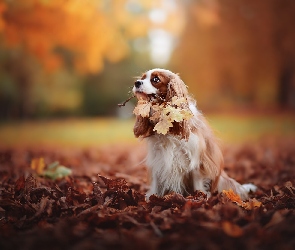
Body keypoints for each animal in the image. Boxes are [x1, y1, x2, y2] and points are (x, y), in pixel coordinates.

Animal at [132, 68, 256, 199]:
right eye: (142, 78)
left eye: (156, 79)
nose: (137, 83)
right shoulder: (158, 159)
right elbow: (156, 183)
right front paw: (151, 198)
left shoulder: (196, 160)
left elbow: (198, 183)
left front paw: (200, 198)